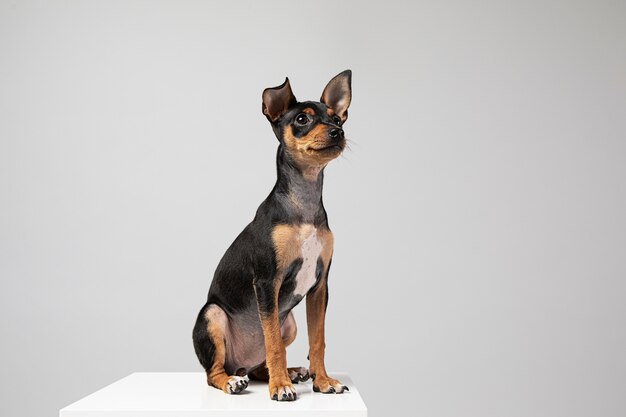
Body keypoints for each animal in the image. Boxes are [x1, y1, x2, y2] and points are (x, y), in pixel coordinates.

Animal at [191, 70, 352, 400]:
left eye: (337, 119)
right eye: (302, 119)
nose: (337, 133)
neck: (303, 206)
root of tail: (239, 363)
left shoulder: (320, 286)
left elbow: (318, 340)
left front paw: (323, 381)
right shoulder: (267, 282)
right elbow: (274, 344)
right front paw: (280, 388)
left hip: (288, 322)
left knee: (258, 366)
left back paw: (294, 372)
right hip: (212, 315)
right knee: (214, 372)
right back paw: (236, 381)